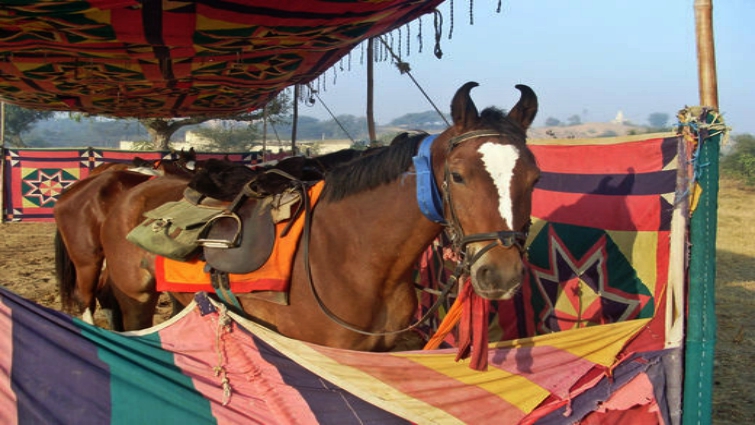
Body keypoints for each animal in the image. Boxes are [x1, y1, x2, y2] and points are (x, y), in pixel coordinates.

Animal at [99, 82, 541, 352]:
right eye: (458, 175)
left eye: (535, 178)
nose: (500, 275)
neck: (355, 257)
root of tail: (131, 189)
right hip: (136, 301)